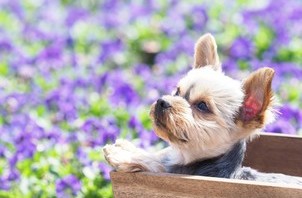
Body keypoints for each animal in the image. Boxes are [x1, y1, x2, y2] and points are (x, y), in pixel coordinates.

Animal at [103, 32, 302, 186]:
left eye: (202, 106)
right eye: (177, 91)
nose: (162, 101)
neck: (184, 156)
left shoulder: (177, 172)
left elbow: (156, 164)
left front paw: (122, 154)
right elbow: (159, 156)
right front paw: (128, 147)